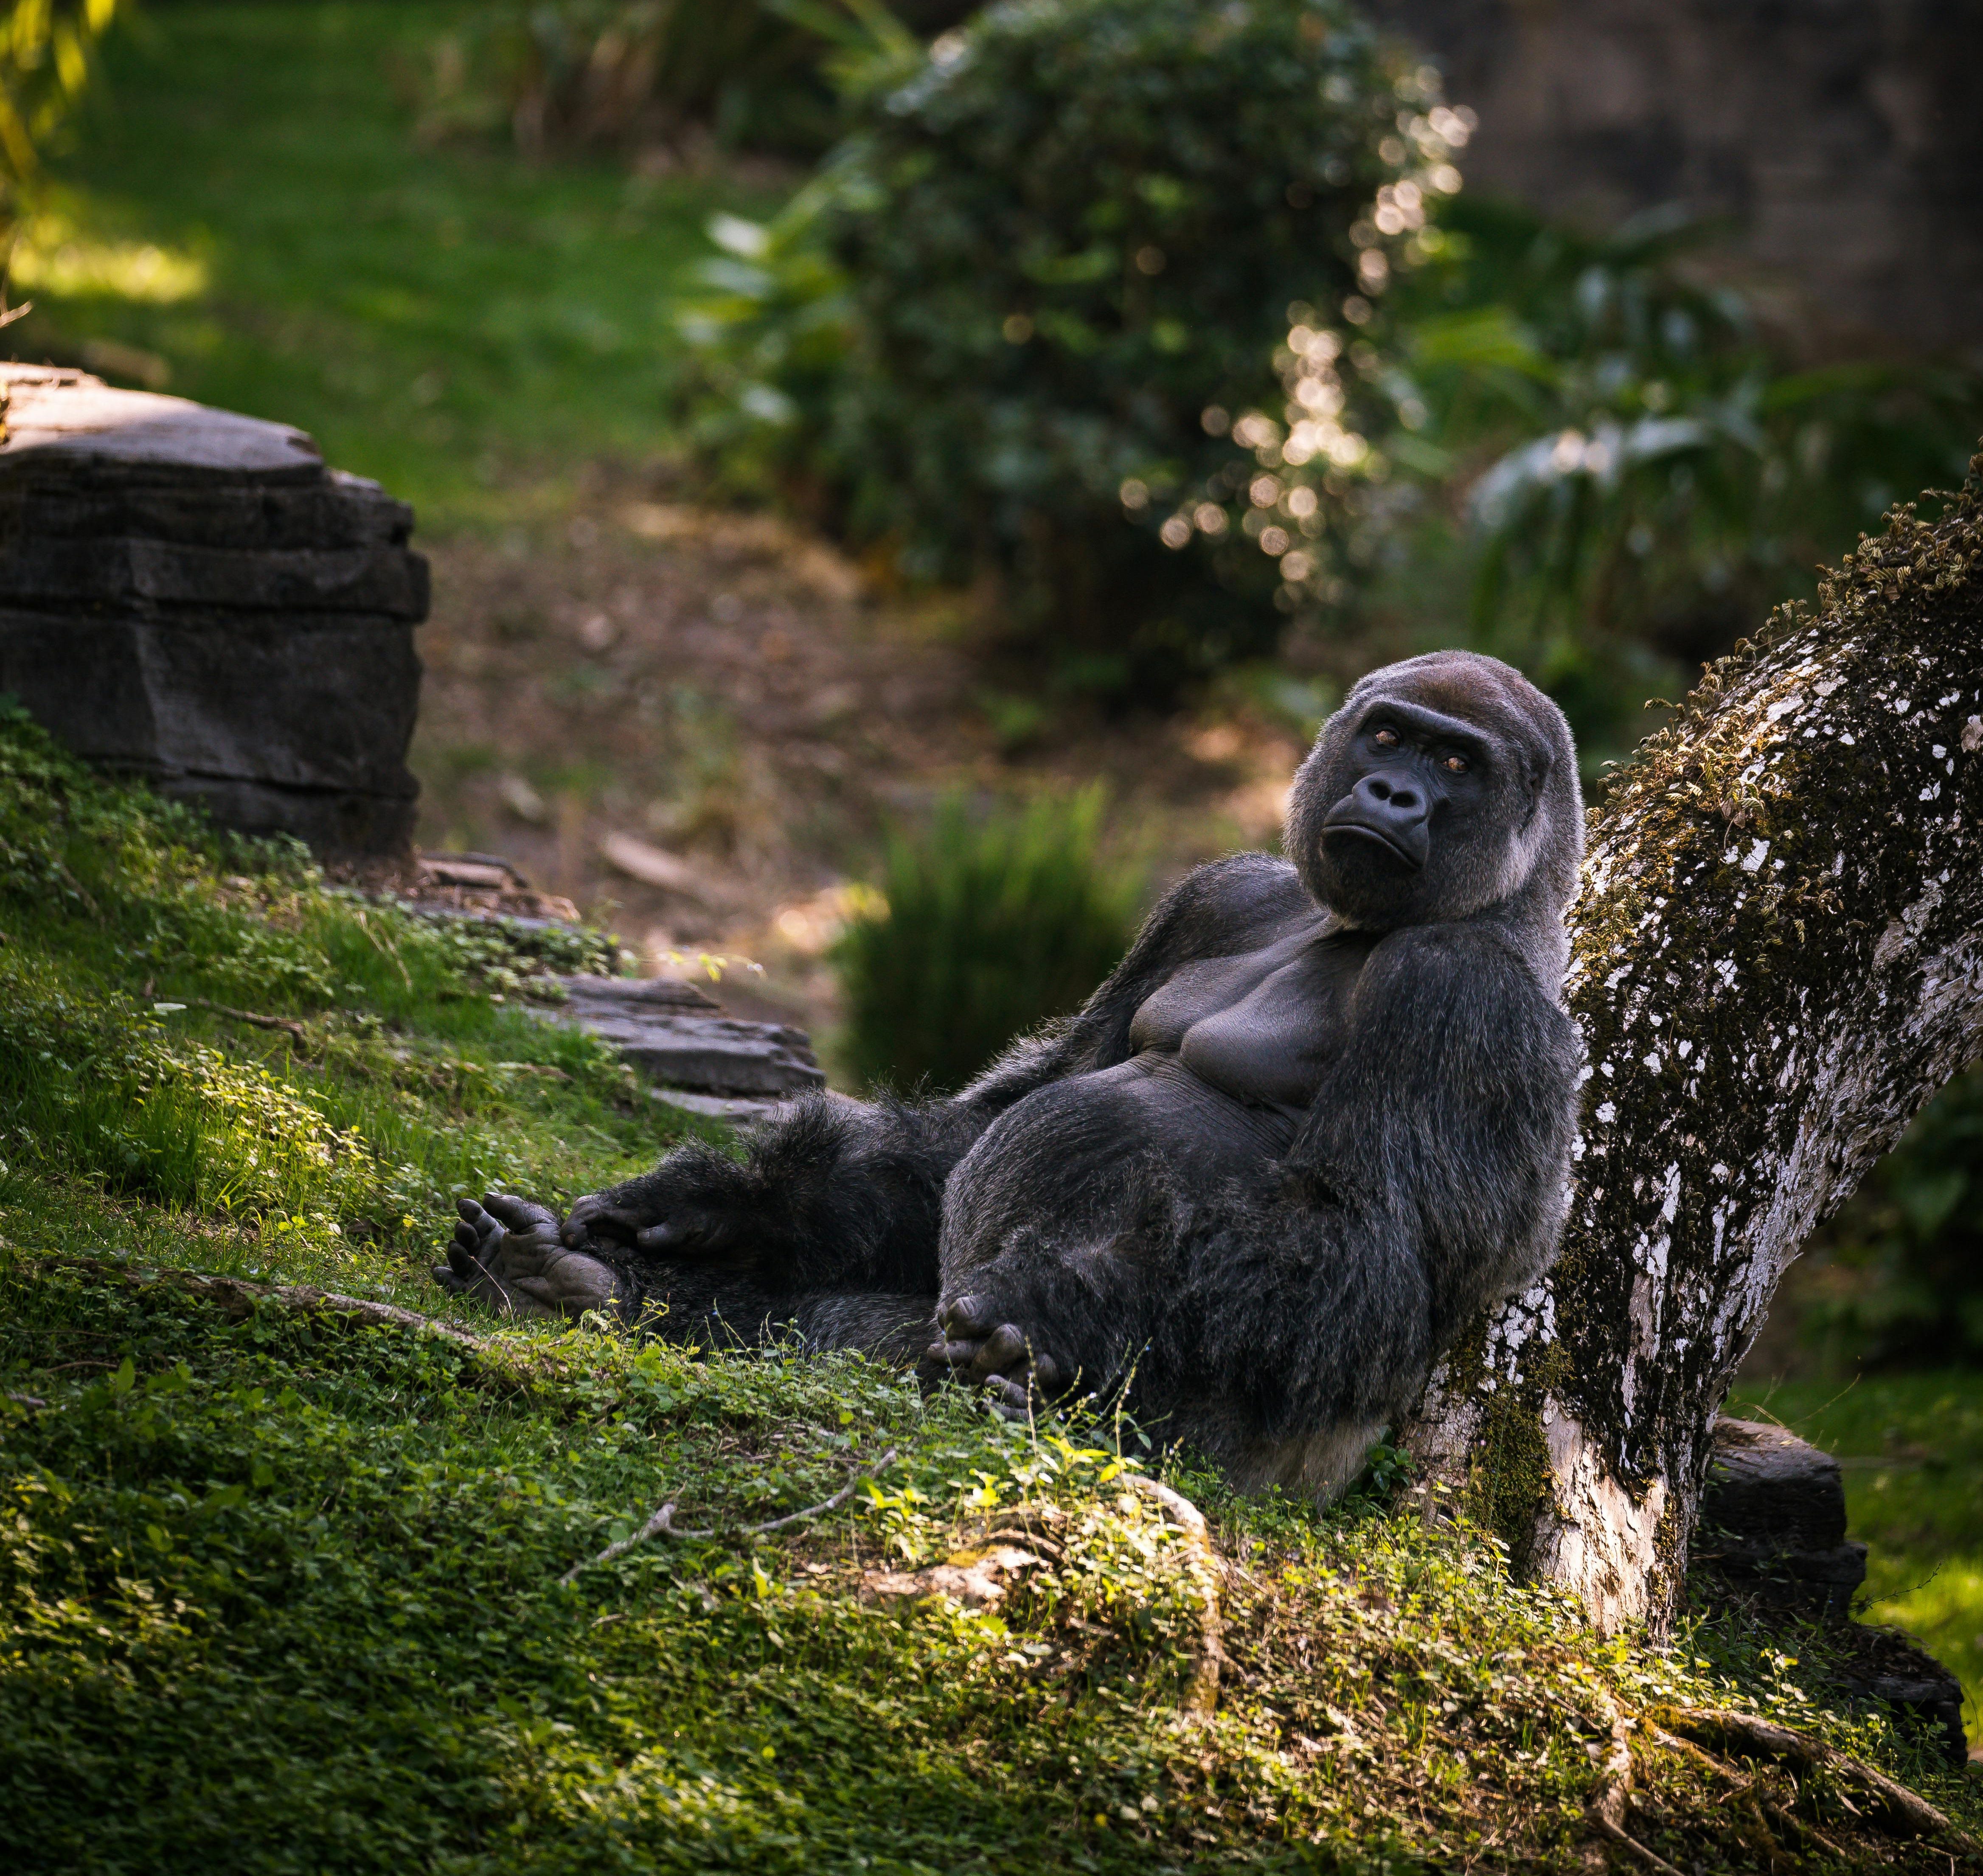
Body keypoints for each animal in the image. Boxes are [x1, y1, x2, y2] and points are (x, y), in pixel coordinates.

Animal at [440, 650, 1584, 1497]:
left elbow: (1361, 1245)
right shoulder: (1218, 895)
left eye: (1457, 763)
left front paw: (1059, 1300)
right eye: (1386, 736)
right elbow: (1004, 1110)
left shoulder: (1462, 992)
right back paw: (561, 1277)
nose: (1392, 792)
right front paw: (723, 1198)